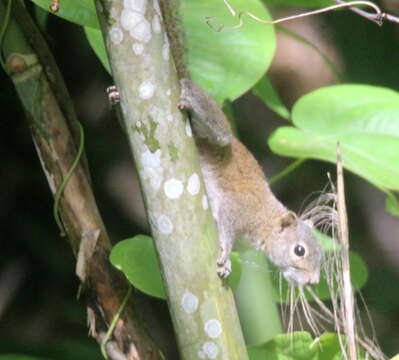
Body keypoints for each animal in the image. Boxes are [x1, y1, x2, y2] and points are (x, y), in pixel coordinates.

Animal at [161, 1, 324, 286]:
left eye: (322, 256)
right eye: (299, 250)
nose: (313, 281)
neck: (265, 221)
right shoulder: (236, 211)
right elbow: (226, 232)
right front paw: (225, 256)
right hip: (219, 134)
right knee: (205, 113)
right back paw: (188, 96)